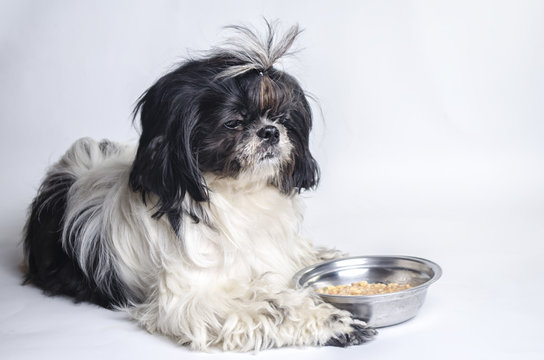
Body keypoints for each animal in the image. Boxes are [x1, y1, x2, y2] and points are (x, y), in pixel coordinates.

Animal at [22, 21, 378, 350]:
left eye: (282, 118)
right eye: (233, 122)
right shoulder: (192, 299)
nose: (270, 131)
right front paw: (330, 321)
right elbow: (273, 306)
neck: (237, 197)